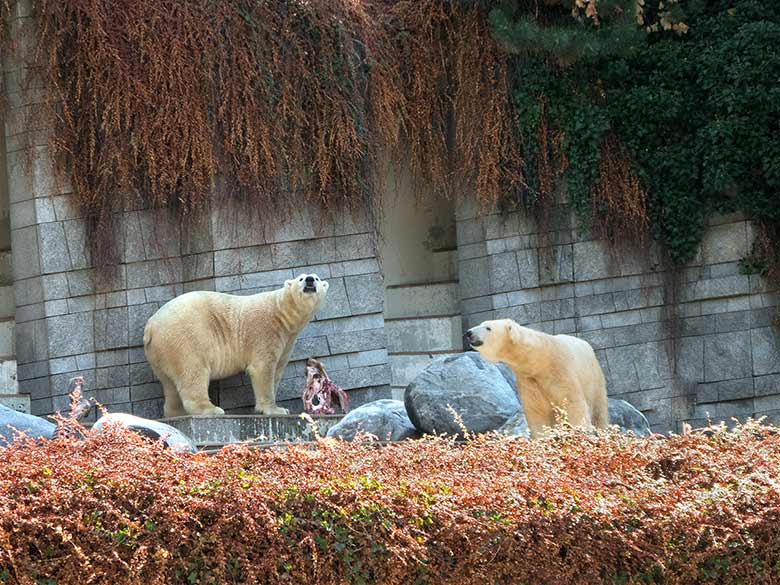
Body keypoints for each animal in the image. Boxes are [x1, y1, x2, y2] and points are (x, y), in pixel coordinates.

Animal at [144, 272, 330, 416]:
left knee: (169, 383)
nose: (310, 280)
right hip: (186, 336)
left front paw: (279, 407)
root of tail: (151, 325)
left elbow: (277, 370)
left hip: (161, 351)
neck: (281, 313)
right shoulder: (265, 331)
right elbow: (263, 368)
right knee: (193, 371)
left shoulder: (287, 340)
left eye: (317, 278)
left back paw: (176, 412)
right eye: (301, 278)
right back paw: (212, 410)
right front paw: (276, 410)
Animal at [464, 318, 608, 436]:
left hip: (594, 377)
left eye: (488, 327)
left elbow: (572, 403)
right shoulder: (529, 380)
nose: (469, 333)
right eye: (481, 324)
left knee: (599, 410)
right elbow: (537, 411)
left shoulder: (560, 370)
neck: (540, 360)